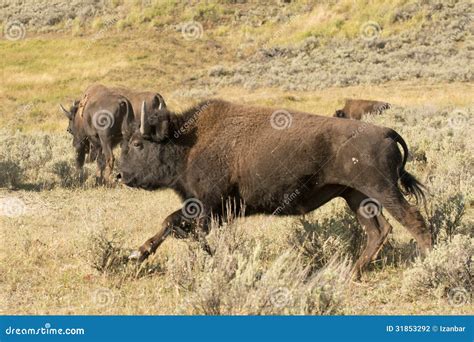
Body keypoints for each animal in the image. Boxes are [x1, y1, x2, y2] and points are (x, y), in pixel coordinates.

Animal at [119, 99, 434, 278]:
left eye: (137, 143)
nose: (121, 175)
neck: (189, 141)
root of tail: (384, 132)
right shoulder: (210, 211)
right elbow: (177, 226)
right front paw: (139, 254)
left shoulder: (206, 207)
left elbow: (174, 224)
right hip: (356, 196)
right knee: (378, 230)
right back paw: (351, 273)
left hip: (382, 189)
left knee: (413, 220)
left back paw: (429, 262)